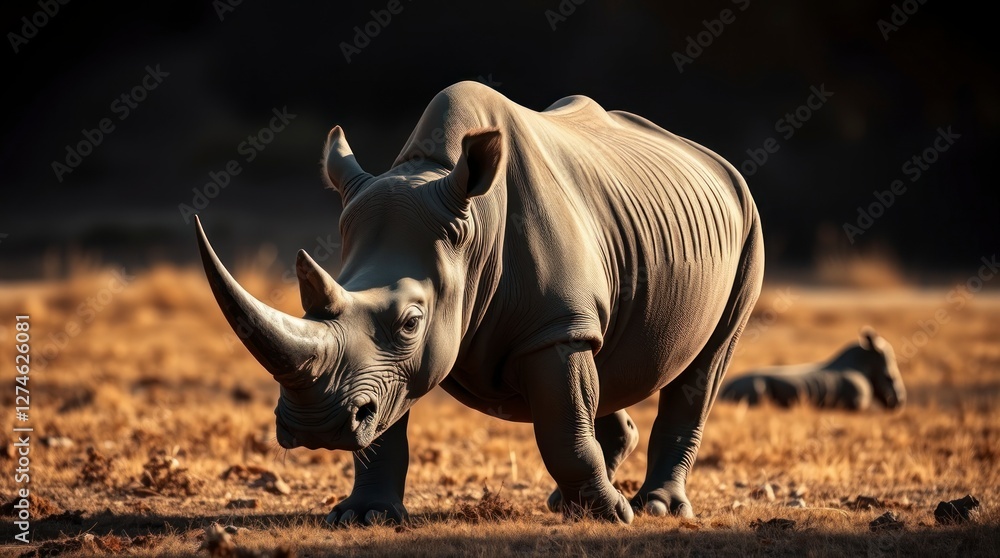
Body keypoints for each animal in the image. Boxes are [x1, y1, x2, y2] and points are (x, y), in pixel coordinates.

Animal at [196, 81, 764, 525]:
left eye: (410, 321)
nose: (317, 427)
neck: (470, 236)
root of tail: (711, 158)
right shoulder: (389, 369)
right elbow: (383, 428)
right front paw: (363, 516)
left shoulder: (554, 328)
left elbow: (564, 428)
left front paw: (611, 517)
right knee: (607, 365)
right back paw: (567, 503)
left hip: (749, 225)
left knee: (706, 364)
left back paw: (655, 508)